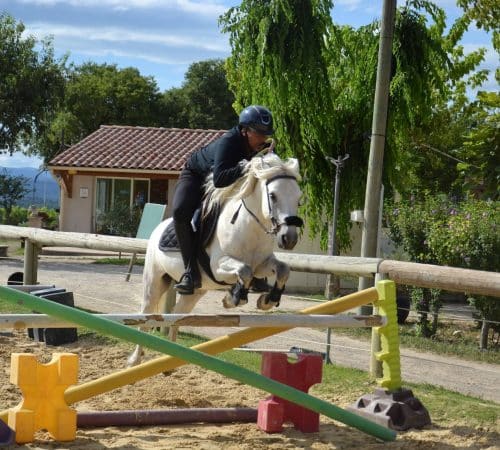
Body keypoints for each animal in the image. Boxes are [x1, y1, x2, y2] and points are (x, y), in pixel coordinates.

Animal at [127, 153, 302, 368]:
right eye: (273, 196)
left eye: (299, 199)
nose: (289, 238)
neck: (250, 228)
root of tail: (158, 229)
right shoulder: (218, 266)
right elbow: (244, 271)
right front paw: (233, 298)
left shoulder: (262, 265)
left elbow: (282, 269)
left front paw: (267, 300)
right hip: (155, 280)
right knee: (147, 315)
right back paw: (135, 359)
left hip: (196, 291)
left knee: (177, 314)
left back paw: (171, 360)